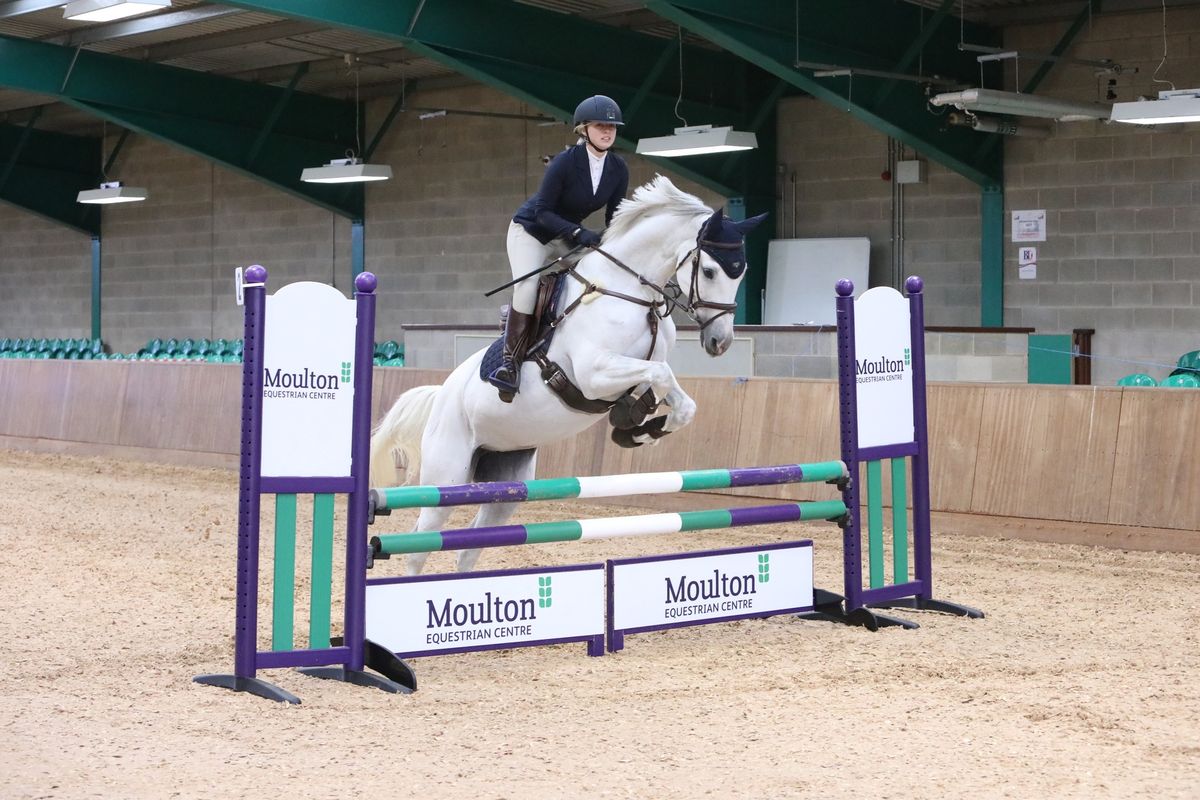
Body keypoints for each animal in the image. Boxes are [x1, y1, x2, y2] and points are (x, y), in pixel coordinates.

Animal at [364, 175, 772, 575]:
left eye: (742, 272)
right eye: (710, 271)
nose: (720, 341)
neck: (630, 292)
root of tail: (442, 396)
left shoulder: (640, 367)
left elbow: (675, 395)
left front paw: (640, 429)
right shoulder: (593, 374)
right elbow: (658, 375)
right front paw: (634, 423)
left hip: (506, 481)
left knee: (468, 549)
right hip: (447, 476)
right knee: (419, 546)